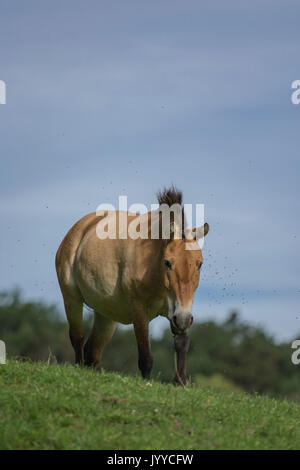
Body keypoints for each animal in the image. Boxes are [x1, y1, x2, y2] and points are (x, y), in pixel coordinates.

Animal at [55, 187, 209, 386]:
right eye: (167, 263)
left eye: (199, 264)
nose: (182, 319)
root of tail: (79, 228)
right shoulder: (140, 310)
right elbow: (146, 355)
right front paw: (147, 382)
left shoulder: (180, 310)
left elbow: (182, 343)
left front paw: (180, 382)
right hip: (71, 298)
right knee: (78, 337)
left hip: (106, 316)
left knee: (92, 351)